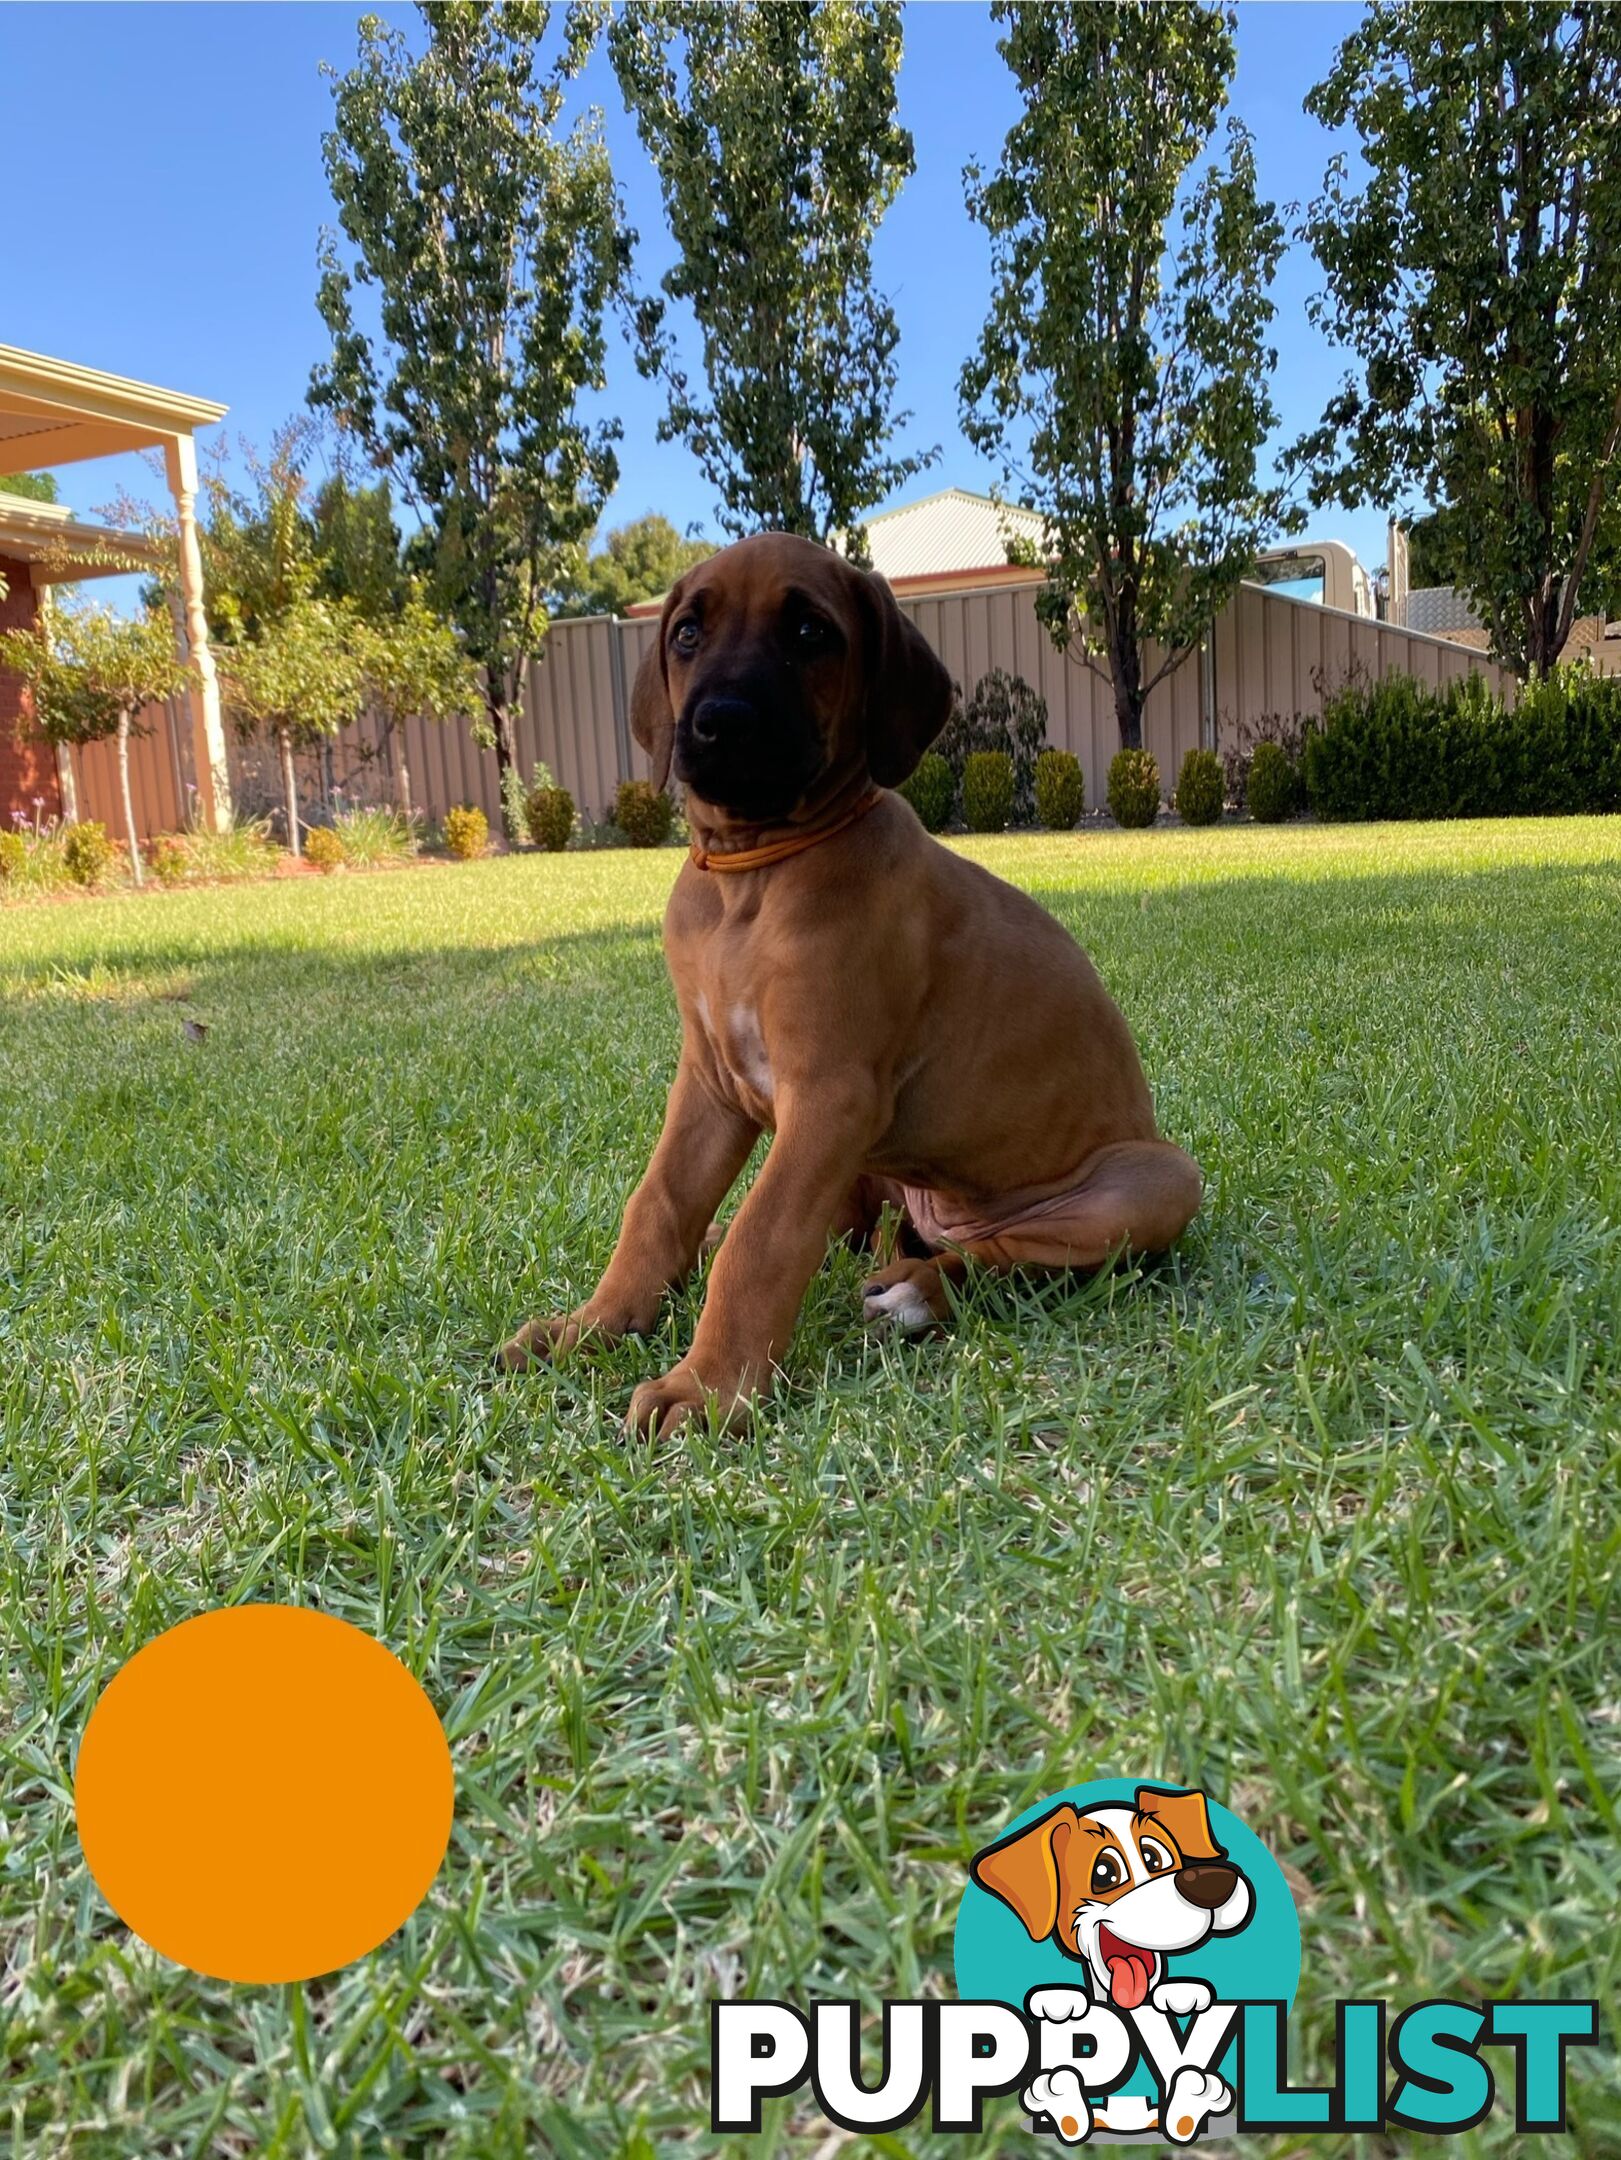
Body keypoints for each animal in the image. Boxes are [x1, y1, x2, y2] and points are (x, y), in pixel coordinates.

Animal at [505, 527, 1210, 1434]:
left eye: (811, 634)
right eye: (687, 634)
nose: (721, 722)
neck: (754, 876)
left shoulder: (830, 1095)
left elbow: (765, 1239)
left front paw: (708, 1389)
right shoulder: (711, 1085)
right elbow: (658, 1203)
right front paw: (595, 1325)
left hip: (1152, 1182)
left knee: (1002, 1258)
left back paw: (914, 1291)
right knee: (854, 1223)